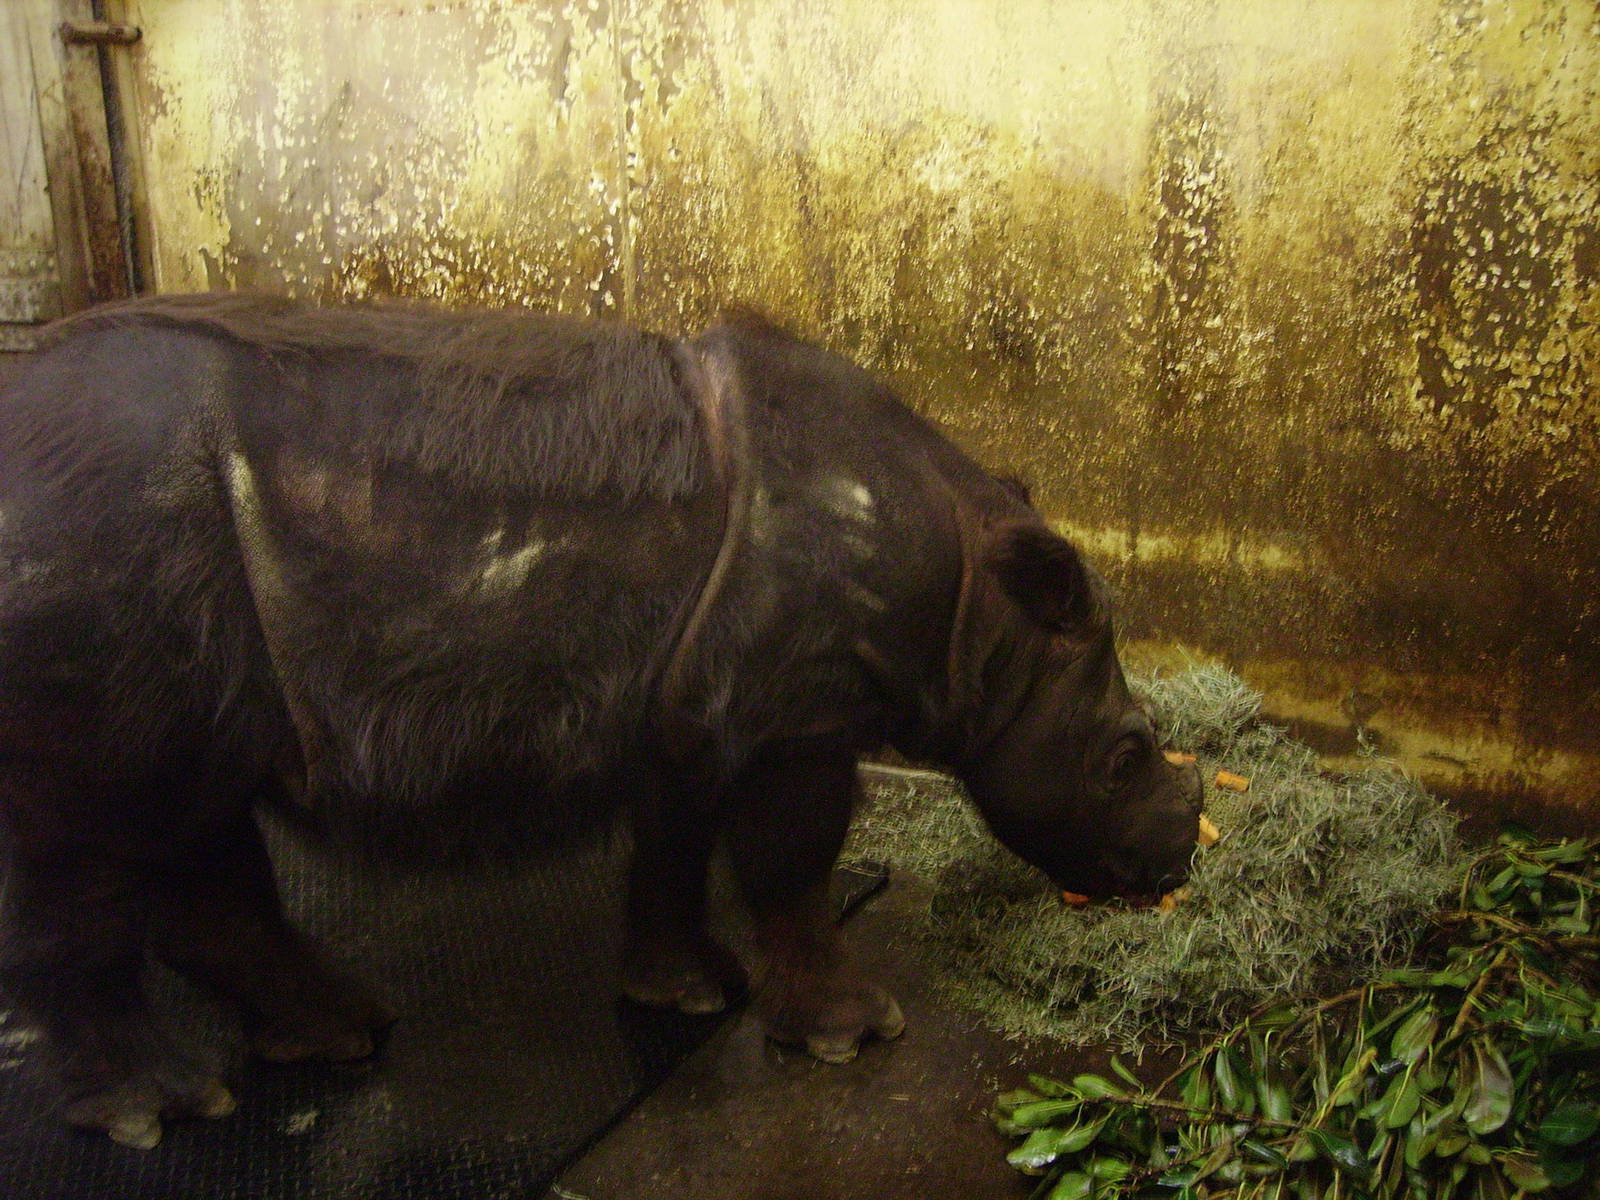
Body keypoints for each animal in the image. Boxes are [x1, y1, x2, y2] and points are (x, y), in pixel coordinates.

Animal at [0, 295, 1200, 1146]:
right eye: (1125, 756)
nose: (1177, 857)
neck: (977, 614)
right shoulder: (800, 714)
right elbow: (796, 864)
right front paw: (855, 1037)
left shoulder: (691, 702)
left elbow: (672, 841)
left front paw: (687, 994)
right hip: (90, 546)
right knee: (90, 843)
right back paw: (160, 1112)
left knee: (192, 813)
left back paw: (339, 1038)